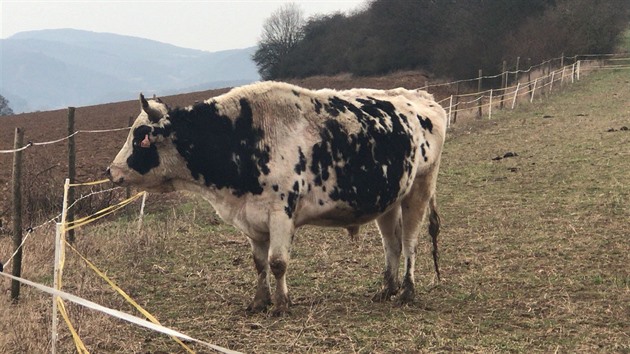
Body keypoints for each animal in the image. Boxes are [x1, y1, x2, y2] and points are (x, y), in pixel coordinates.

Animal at [106, 81, 446, 316]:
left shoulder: (280, 214)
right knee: (392, 244)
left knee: (410, 242)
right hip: (389, 198)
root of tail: (422, 98)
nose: (111, 171)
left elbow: (278, 262)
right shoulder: (252, 218)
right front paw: (260, 301)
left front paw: (282, 304)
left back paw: (407, 291)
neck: (243, 137)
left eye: (140, 137)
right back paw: (387, 288)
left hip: (420, 188)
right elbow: (259, 263)